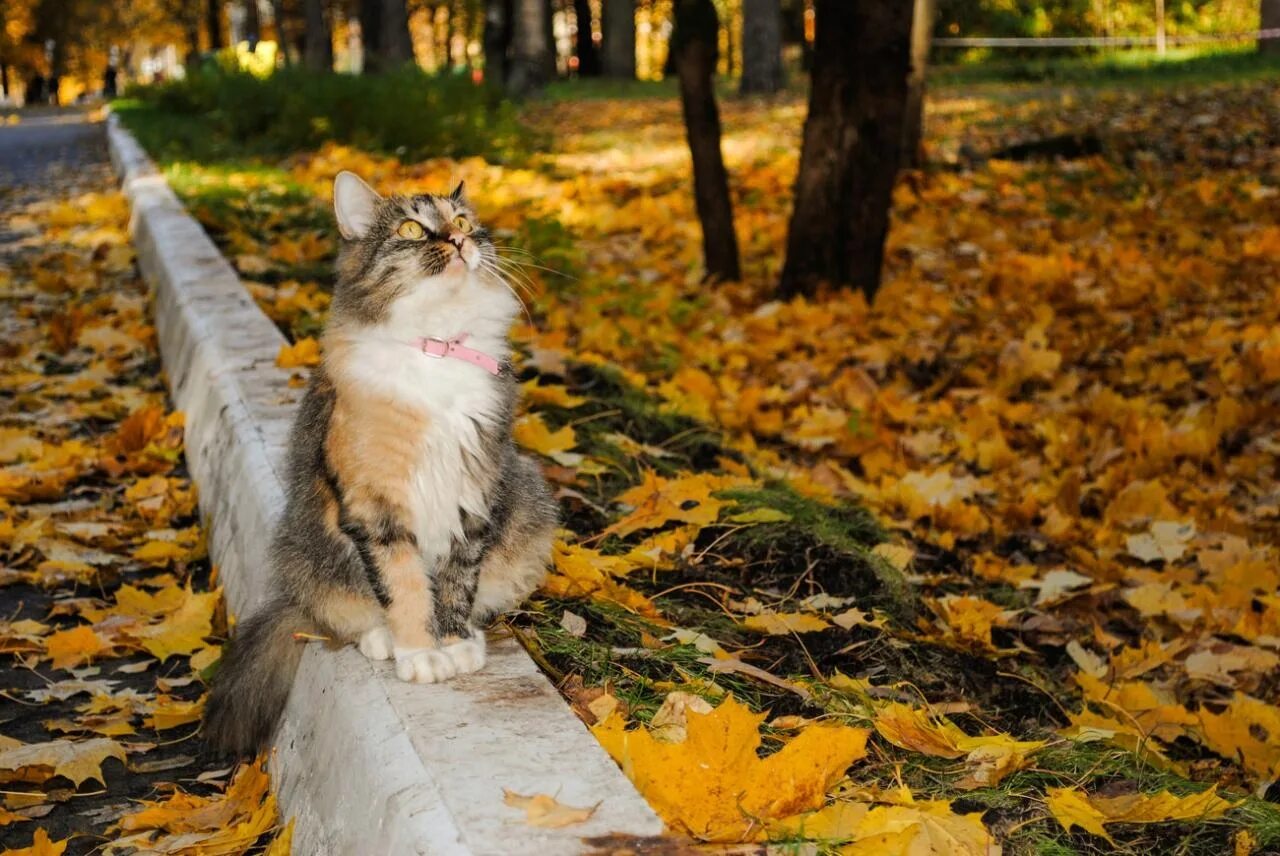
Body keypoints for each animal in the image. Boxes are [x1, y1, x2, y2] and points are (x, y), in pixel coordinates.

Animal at [203, 170, 555, 752]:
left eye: (462, 223)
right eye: (412, 229)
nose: (457, 242)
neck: (437, 349)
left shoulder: (472, 493)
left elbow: (456, 582)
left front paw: (453, 642)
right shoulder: (376, 508)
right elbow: (404, 587)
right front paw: (420, 652)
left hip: (528, 499)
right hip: (308, 551)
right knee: (341, 611)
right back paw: (381, 639)